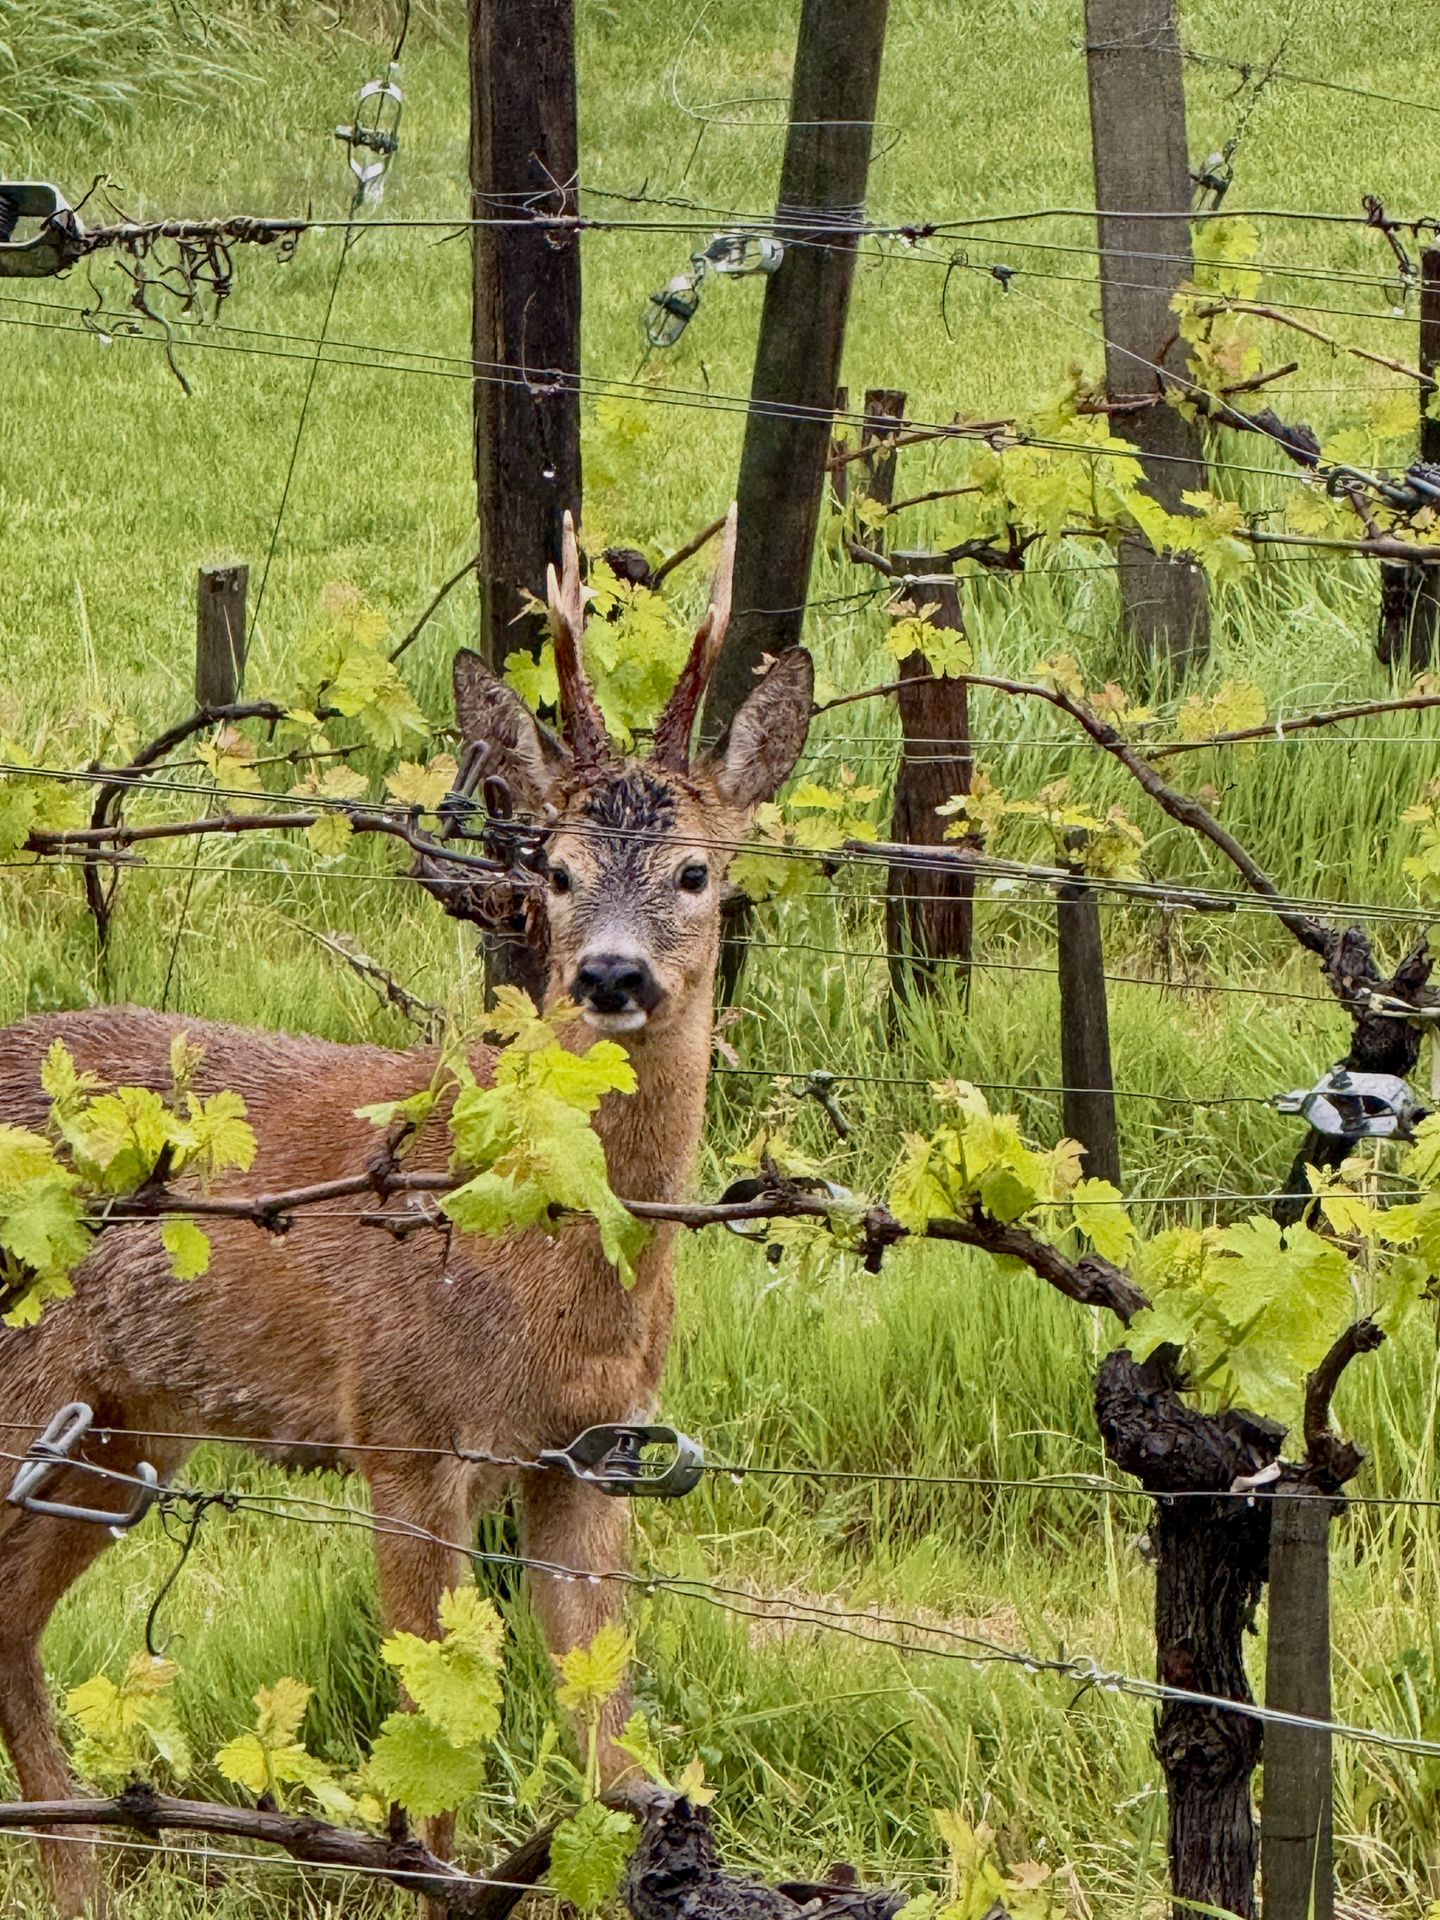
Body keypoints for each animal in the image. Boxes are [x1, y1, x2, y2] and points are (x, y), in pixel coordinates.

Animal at [0, 513, 814, 1916]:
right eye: (555, 868)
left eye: (699, 870)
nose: (611, 975)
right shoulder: (403, 1434)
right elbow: (430, 1786)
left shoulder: (594, 1456)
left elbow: (613, 1753)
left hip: (122, 1423)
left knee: (8, 1619)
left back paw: (79, 1882)